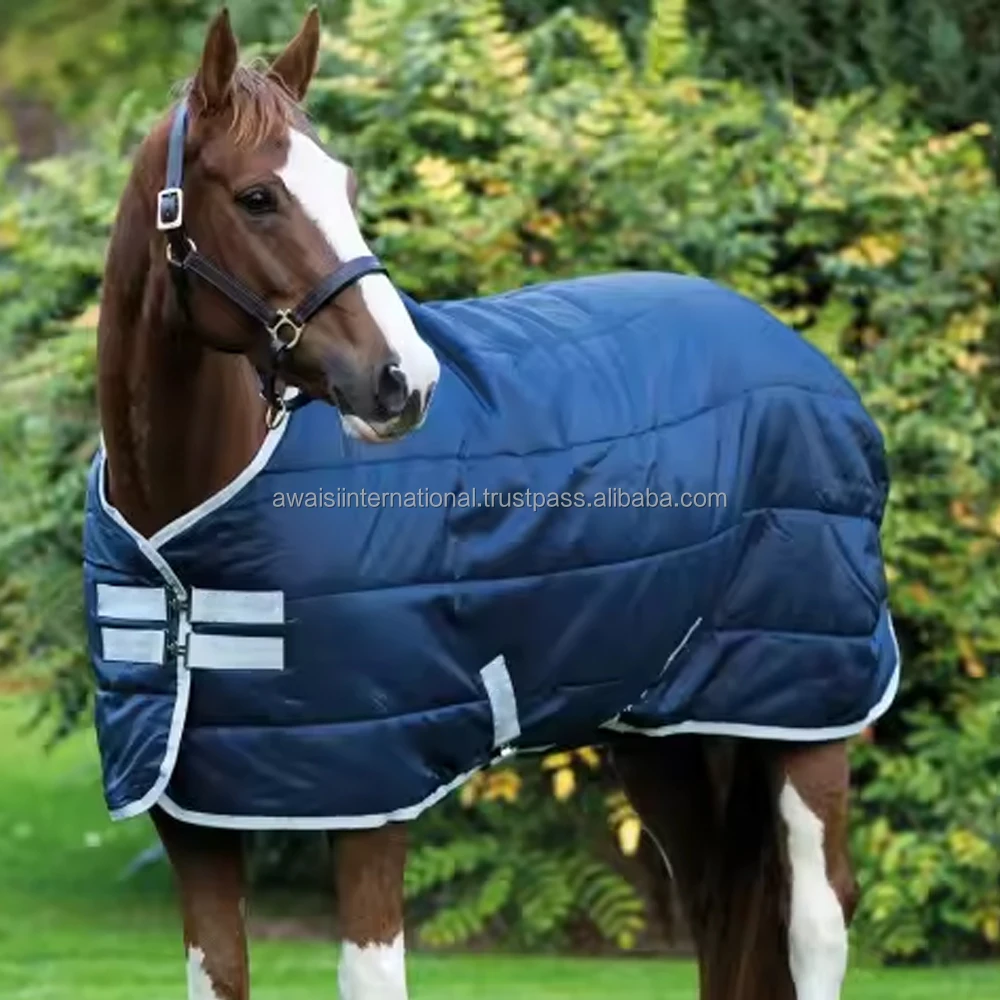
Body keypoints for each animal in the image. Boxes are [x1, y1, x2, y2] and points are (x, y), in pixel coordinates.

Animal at [88, 8, 898, 999]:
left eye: (345, 185)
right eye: (256, 197)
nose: (404, 380)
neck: (184, 539)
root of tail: (805, 359)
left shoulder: (372, 797)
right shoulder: (190, 814)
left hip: (809, 703)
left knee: (816, 917)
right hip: (664, 723)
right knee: (717, 904)